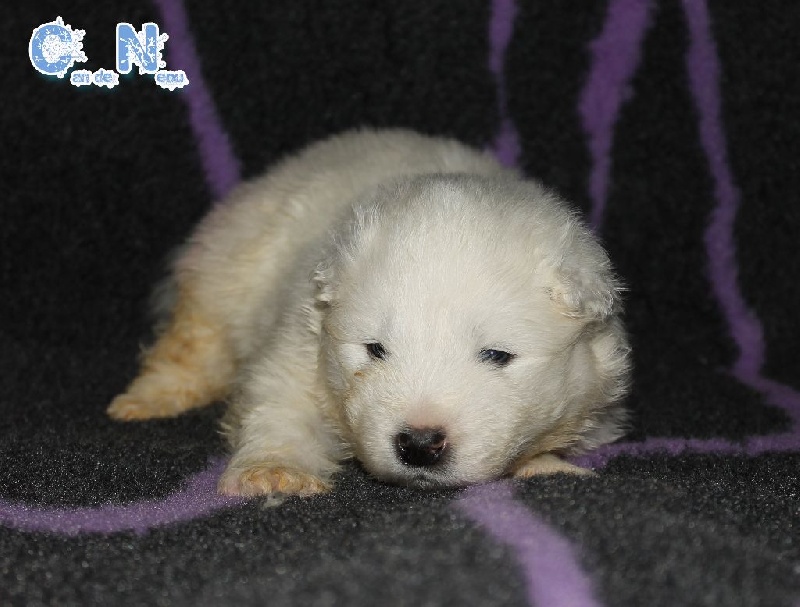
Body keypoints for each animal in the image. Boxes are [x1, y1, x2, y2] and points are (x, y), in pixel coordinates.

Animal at [107, 128, 631, 496]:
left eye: (497, 356)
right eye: (375, 349)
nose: (419, 444)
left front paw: (545, 465)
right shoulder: (299, 346)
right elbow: (278, 403)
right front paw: (274, 472)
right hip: (229, 269)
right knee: (194, 342)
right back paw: (145, 400)